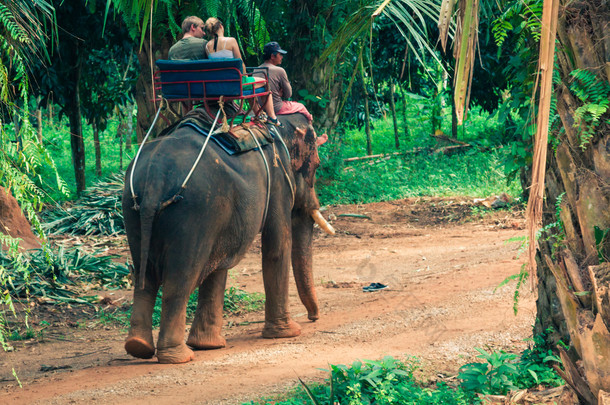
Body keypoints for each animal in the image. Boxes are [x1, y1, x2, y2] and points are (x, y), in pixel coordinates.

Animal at [120, 110, 330, 362]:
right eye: (316, 165)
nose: (313, 318)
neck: (279, 125)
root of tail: (155, 178)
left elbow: (218, 265)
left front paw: (208, 345)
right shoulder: (279, 180)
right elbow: (277, 246)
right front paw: (288, 333)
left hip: (133, 208)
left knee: (145, 278)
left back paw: (138, 347)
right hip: (193, 212)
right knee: (179, 279)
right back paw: (179, 356)